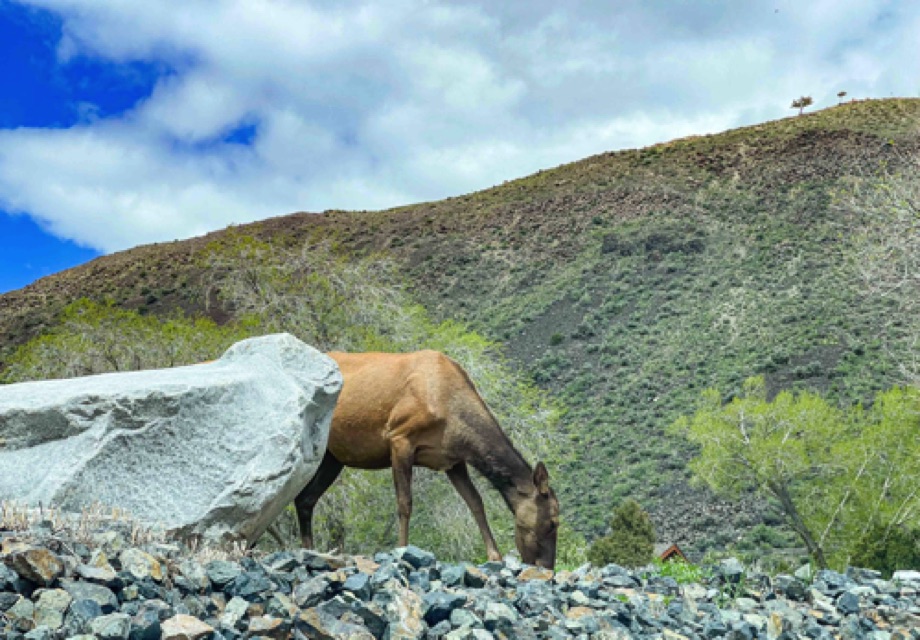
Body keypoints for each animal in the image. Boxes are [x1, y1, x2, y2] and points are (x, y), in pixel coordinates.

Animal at [298, 350, 560, 568]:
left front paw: (494, 555)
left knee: (305, 499)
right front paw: (402, 550)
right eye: (552, 522)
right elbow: (405, 503)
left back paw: (311, 552)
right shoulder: (399, 438)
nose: (547, 567)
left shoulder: (453, 460)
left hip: (333, 457)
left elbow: (475, 501)